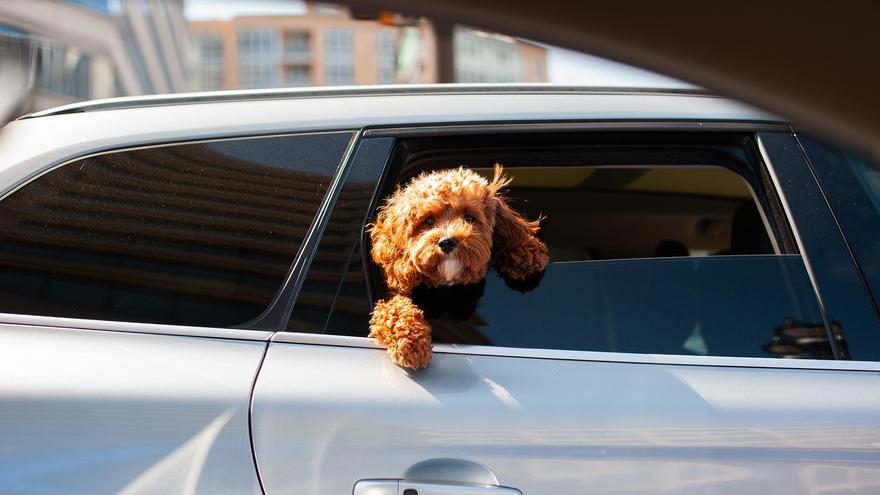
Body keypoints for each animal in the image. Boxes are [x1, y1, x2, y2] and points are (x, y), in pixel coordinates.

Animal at [366, 166, 548, 368]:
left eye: (469, 217)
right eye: (428, 220)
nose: (447, 242)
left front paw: (527, 251)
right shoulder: (393, 295)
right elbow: (393, 310)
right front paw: (411, 343)